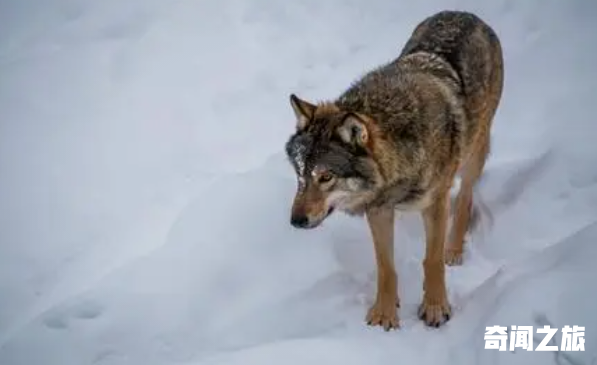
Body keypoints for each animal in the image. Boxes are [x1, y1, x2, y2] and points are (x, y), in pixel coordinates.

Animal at [284, 10, 502, 330]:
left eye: (326, 177)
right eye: (300, 174)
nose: (296, 221)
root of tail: (465, 13)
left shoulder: (435, 204)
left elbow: (431, 260)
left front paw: (435, 307)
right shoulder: (378, 210)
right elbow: (386, 267)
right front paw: (384, 314)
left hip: (474, 152)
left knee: (465, 198)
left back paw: (453, 250)